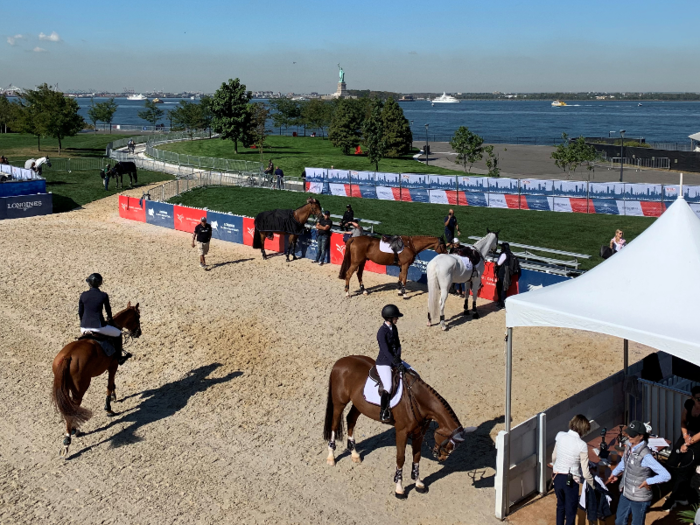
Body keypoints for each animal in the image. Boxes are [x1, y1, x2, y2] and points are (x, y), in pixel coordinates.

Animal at [51, 300, 142, 456]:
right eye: (138, 316)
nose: (138, 333)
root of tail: (67, 357)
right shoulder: (113, 365)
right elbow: (109, 385)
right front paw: (109, 408)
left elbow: (112, 385)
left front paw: (114, 397)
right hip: (80, 388)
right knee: (73, 408)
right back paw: (68, 439)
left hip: (67, 388)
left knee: (70, 408)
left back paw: (73, 430)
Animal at [326, 354, 474, 498]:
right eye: (448, 444)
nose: (441, 457)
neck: (417, 401)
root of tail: (340, 362)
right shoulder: (402, 432)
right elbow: (401, 458)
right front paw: (399, 489)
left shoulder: (419, 433)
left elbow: (417, 456)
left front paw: (418, 483)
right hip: (339, 403)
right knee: (334, 425)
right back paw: (331, 458)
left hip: (359, 405)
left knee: (351, 419)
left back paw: (355, 454)